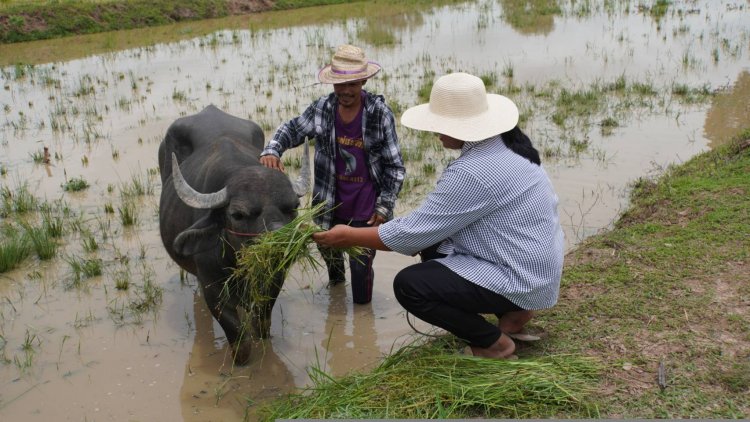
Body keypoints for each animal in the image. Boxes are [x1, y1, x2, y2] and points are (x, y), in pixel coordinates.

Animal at [157, 104, 310, 364]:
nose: (279, 243)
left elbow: (261, 323)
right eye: (238, 214)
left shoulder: (273, 279)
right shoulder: (212, 289)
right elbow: (238, 336)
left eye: (293, 207)